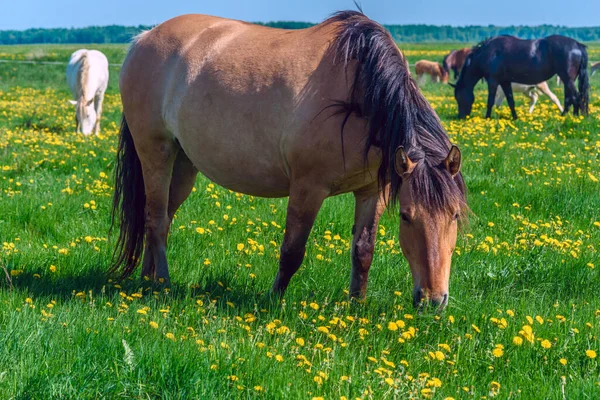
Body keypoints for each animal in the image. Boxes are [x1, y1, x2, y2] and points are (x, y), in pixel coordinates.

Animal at [113, 10, 468, 310]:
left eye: (454, 215)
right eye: (407, 217)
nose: (433, 300)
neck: (359, 92)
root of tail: (143, 38)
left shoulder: (372, 191)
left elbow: (363, 251)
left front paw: (356, 306)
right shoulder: (307, 188)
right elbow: (292, 250)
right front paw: (273, 300)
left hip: (183, 163)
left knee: (160, 216)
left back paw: (147, 279)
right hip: (155, 153)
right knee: (156, 219)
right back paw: (163, 284)